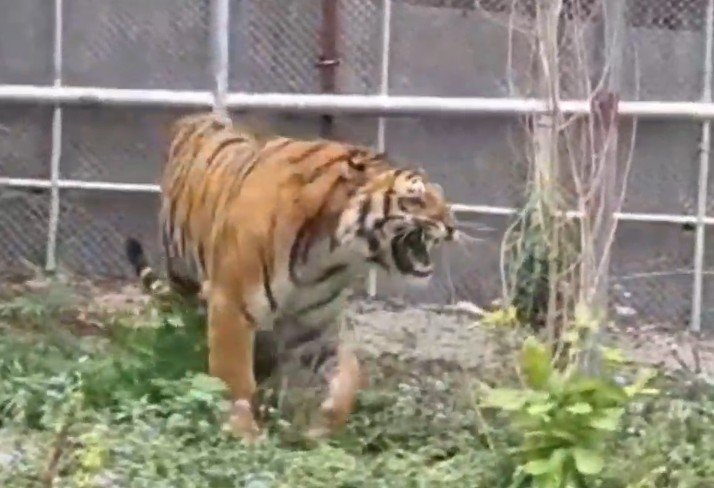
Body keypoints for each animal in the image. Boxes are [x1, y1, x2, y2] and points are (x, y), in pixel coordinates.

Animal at [124, 111, 458, 444]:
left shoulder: (315, 327)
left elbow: (345, 380)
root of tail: (195, 117)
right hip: (181, 275)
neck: (329, 255)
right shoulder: (231, 305)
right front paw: (244, 434)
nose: (452, 226)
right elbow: (235, 377)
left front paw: (318, 430)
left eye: (441, 197)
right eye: (415, 199)